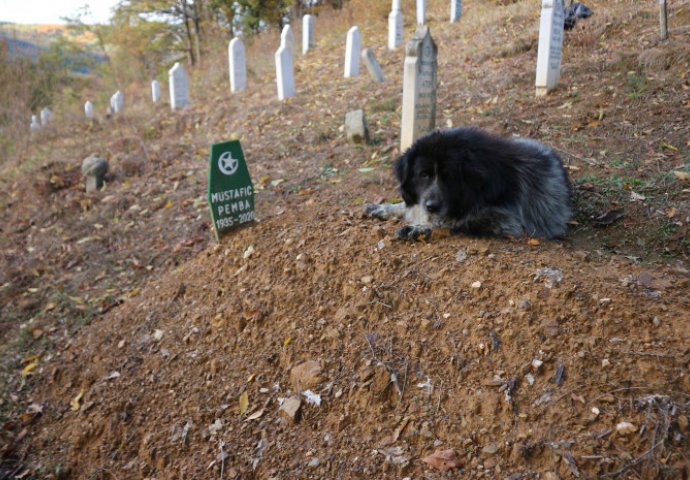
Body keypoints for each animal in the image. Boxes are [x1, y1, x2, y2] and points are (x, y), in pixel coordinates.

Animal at [364, 127, 571, 241]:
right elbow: (405, 207)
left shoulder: (505, 221)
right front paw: (380, 208)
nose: (432, 206)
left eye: (449, 177)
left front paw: (419, 228)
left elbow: (452, 223)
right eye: (423, 175)